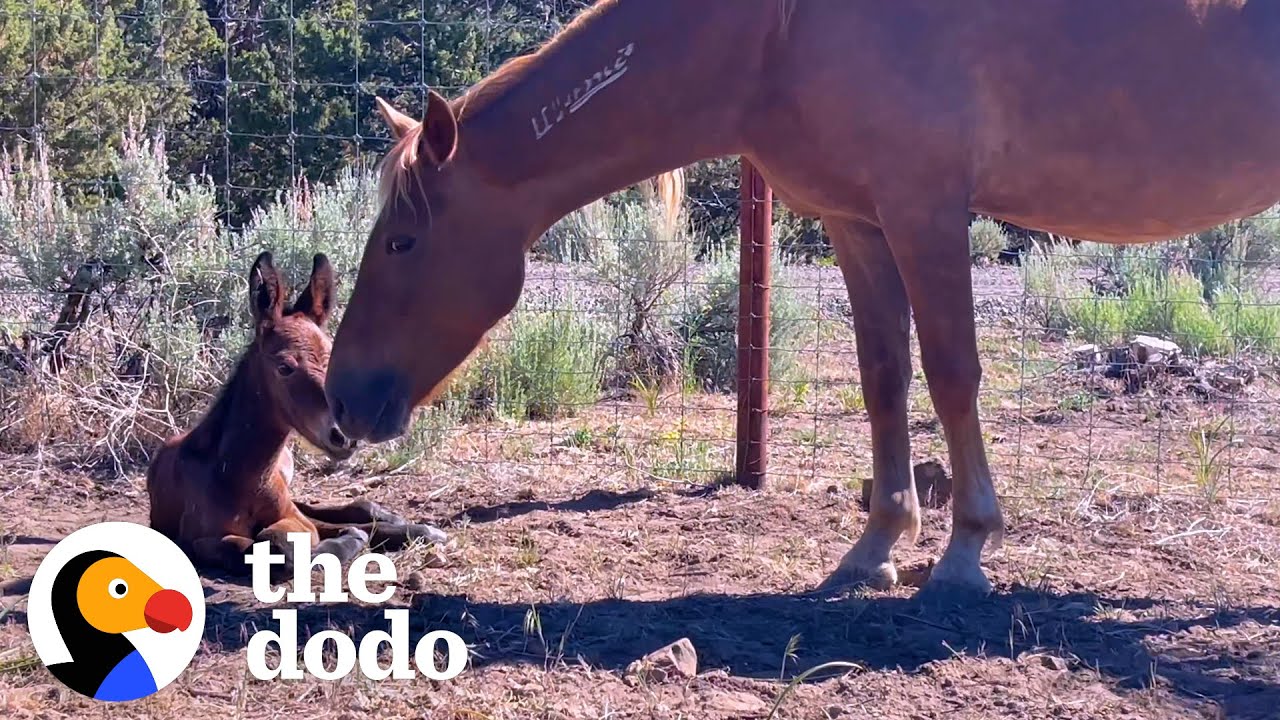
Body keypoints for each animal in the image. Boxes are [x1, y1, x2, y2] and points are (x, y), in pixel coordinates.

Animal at [147, 249, 448, 573]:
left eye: (331, 359)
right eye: (284, 367)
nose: (345, 436)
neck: (238, 477)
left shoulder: (291, 512)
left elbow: (307, 530)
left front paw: (410, 530)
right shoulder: (199, 540)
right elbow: (275, 546)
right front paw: (350, 540)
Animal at [325, 0, 1280, 594]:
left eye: (401, 241)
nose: (341, 400)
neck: (775, 34)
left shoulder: (926, 210)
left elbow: (953, 375)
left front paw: (966, 551)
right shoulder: (858, 222)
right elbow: (884, 377)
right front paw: (878, 547)